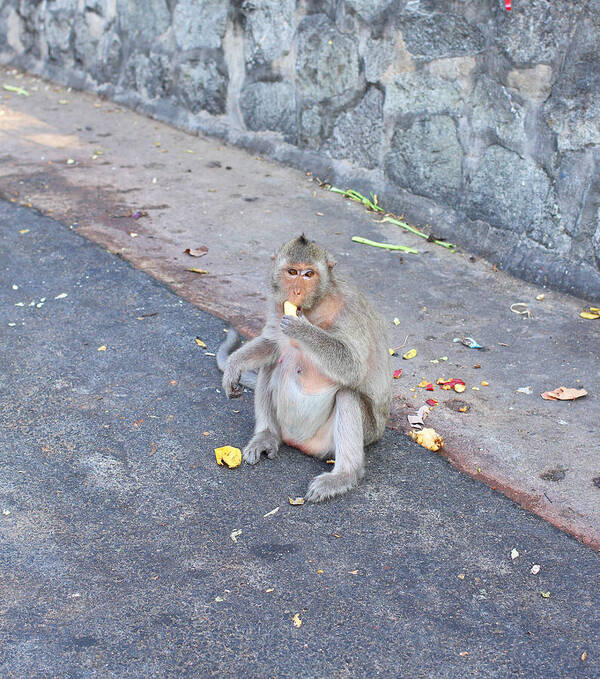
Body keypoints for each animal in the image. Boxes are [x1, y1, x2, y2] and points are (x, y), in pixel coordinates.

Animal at [218, 236, 392, 502]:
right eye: (292, 272)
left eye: (309, 274)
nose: (297, 291)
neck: (315, 306)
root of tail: (300, 443)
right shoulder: (277, 304)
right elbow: (272, 344)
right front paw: (234, 364)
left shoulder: (351, 309)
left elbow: (353, 367)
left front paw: (302, 328)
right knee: (272, 364)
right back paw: (267, 436)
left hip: (360, 434)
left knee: (347, 393)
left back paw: (345, 475)